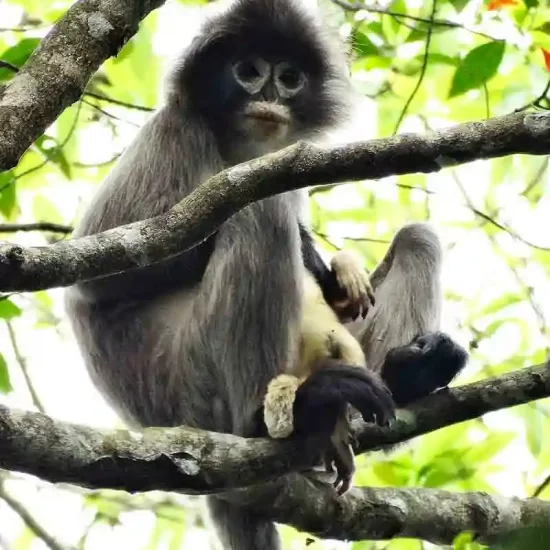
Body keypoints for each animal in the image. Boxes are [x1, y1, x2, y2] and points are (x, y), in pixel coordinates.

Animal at [64, 1, 470, 550]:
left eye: (290, 77)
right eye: (249, 71)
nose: (270, 96)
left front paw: (340, 270)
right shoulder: (173, 131)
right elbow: (100, 278)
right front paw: (315, 255)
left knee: (417, 237)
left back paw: (407, 376)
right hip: (193, 387)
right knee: (260, 211)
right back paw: (279, 419)